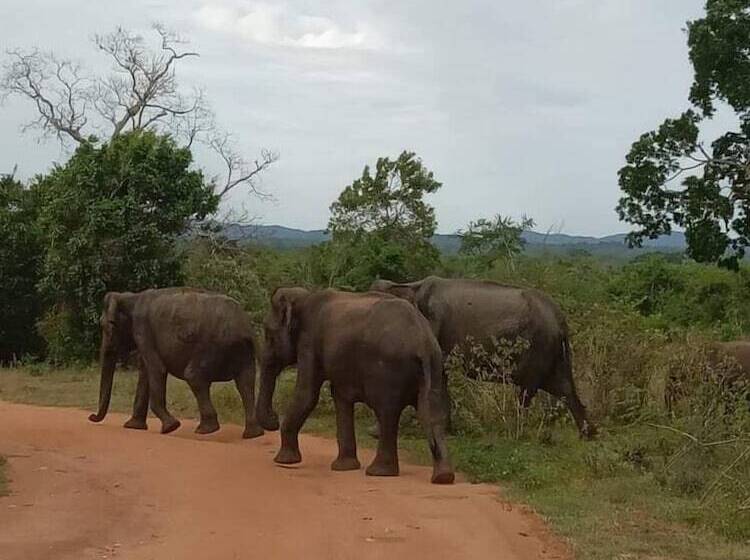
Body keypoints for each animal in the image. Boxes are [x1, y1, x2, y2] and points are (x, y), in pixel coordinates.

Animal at [88, 287, 264, 439]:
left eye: (107, 325)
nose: (91, 416)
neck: (130, 296)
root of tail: (243, 327)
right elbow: (145, 372)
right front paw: (133, 426)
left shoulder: (142, 329)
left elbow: (157, 369)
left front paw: (171, 427)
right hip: (243, 351)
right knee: (245, 382)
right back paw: (253, 434)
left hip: (213, 346)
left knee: (194, 376)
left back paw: (205, 430)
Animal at [255, 287, 455, 484]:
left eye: (268, 333)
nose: (274, 418)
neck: (304, 296)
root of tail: (423, 341)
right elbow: (340, 396)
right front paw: (344, 467)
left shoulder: (309, 342)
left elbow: (307, 394)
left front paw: (283, 461)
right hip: (435, 365)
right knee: (432, 412)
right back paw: (443, 477)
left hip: (388, 370)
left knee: (387, 412)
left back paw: (379, 472)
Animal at [370, 276, 595, 438]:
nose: (371, 433)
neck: (410, 286)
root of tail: (561, 320)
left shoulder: (434, 327)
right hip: (553, 353)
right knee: (564, 389)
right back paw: (588, 435)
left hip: (539, 346)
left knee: (528, 391)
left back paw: (516, 432)